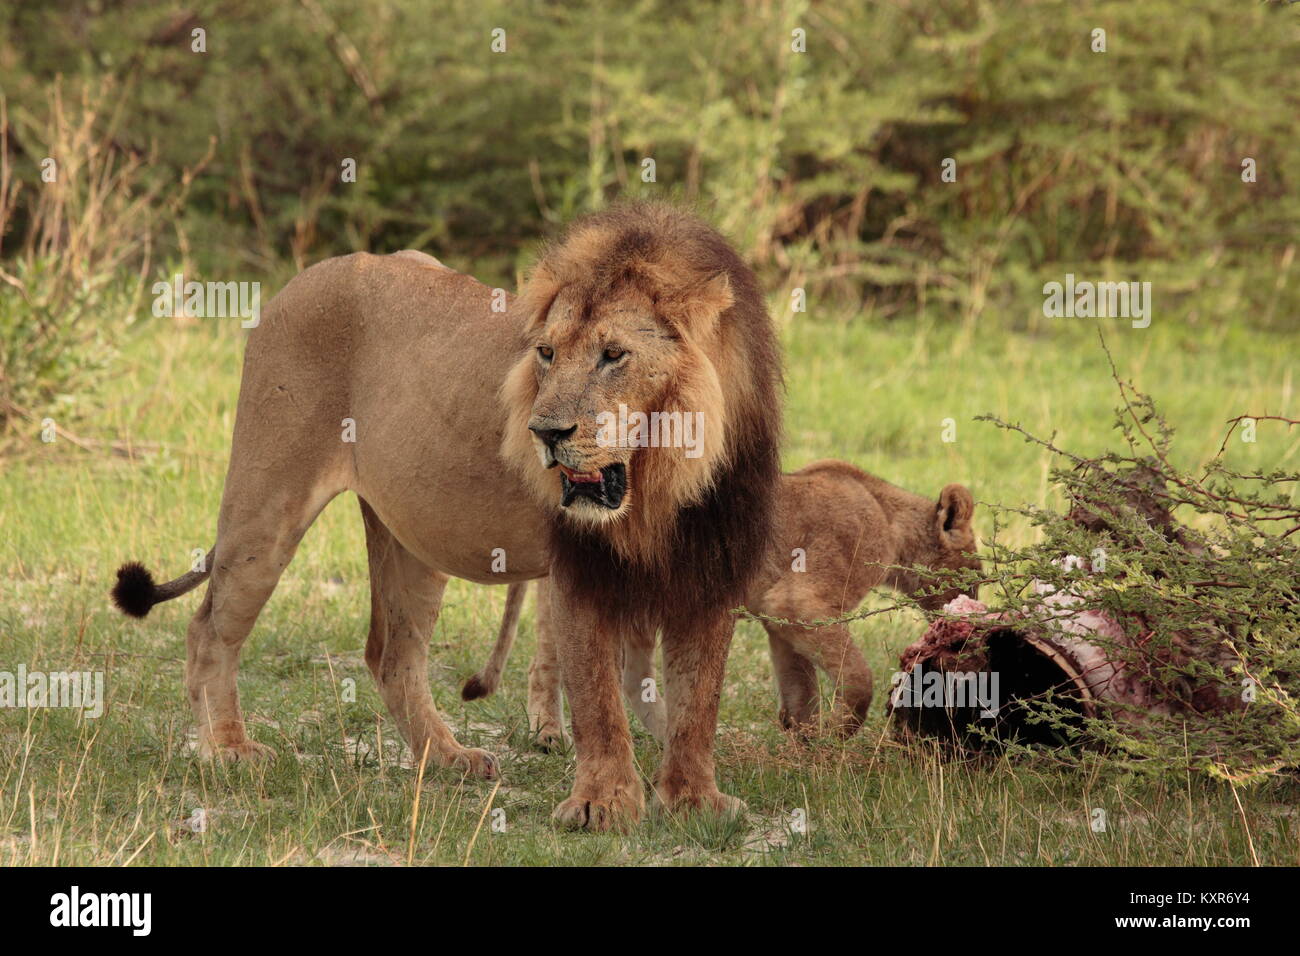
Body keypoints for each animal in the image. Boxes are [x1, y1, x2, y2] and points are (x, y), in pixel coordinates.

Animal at [111, 204, 774, 832]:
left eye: (614, 355)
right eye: (546, 353)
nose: (543, 433)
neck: (660, 478)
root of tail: (301, 279)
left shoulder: (712, 566)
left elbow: (697, 701)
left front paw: (695, 801)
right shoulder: (577, 568)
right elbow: (597, 696)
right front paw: (601, 806)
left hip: (411, 533)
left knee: (390, 655)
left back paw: (449, 758)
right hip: (267, 501)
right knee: (209, 628)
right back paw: (227, 750)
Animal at [465, 463, 977, 738]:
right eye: (976, 572)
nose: (976, 604)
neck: (889, 515)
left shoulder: (776, 614)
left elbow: (800, 687)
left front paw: (803, 741)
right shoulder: (801, 598)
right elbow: (856, 677)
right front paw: (836, 737)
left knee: (627, 677)